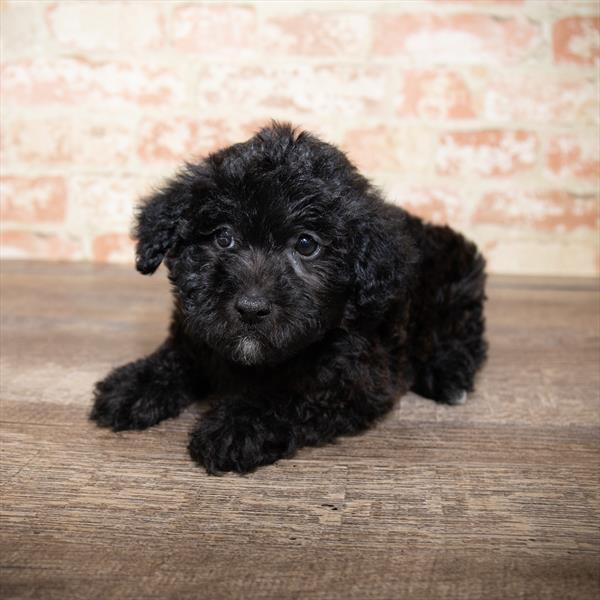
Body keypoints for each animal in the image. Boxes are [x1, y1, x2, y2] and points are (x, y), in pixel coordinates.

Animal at [90, 124, 488, 476]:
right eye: (223, 238)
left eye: (307, 244)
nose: (251, 309)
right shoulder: (196, 331)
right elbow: (178, 357)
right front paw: (133, 385)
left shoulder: (356, 379)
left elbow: (294, 394)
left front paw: (238, 425)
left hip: (457, 294)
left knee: (464, 338)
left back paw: (448, 376)